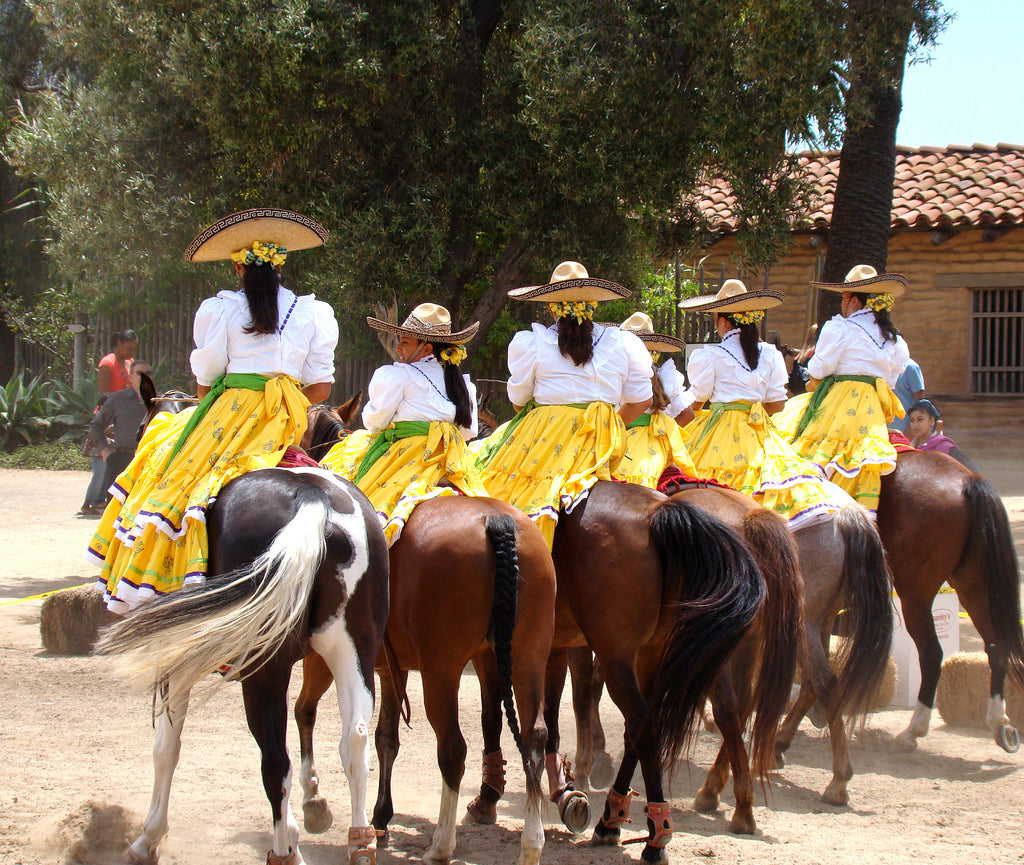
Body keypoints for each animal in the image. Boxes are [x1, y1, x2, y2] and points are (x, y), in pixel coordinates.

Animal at [96, 388, 391, 863]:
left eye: (141, 427)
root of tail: (315, 502)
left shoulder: (176, 658)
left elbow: (166, 747)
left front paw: (148, 838)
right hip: (354, 648)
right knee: (355, 742)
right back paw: (359, 843)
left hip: (264, 667)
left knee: (275, 760)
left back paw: (286, 852)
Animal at [288, 405, 561, 863]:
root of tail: (498, 522)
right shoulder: (390, 666)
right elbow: (386, 736)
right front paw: (380, 817)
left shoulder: (329, 654)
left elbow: (306, 712)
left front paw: (317, 804)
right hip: (527, 655)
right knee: (535, 738)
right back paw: (531, 842)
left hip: (442, 669)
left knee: (453, 748)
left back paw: (441, 844)